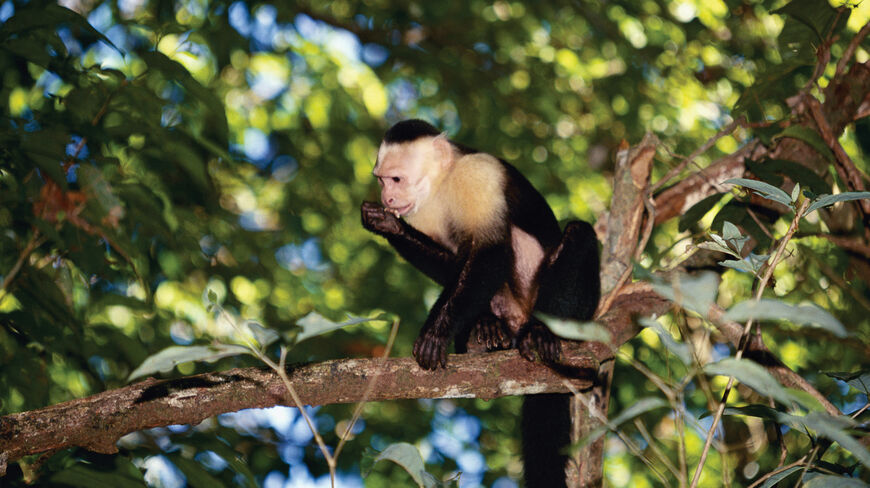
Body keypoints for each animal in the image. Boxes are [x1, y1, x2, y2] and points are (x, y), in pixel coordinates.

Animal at [361, 119, 600, 487]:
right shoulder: (421, 212)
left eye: (396, 179)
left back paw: (543, 332)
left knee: (576, 233)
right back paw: (483, 332)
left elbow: (489, 252)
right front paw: (387, 225)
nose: (387, 197)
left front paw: (436, 332)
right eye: (381, 180)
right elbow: (456, 264)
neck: (443, 182)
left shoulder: (479, 175)